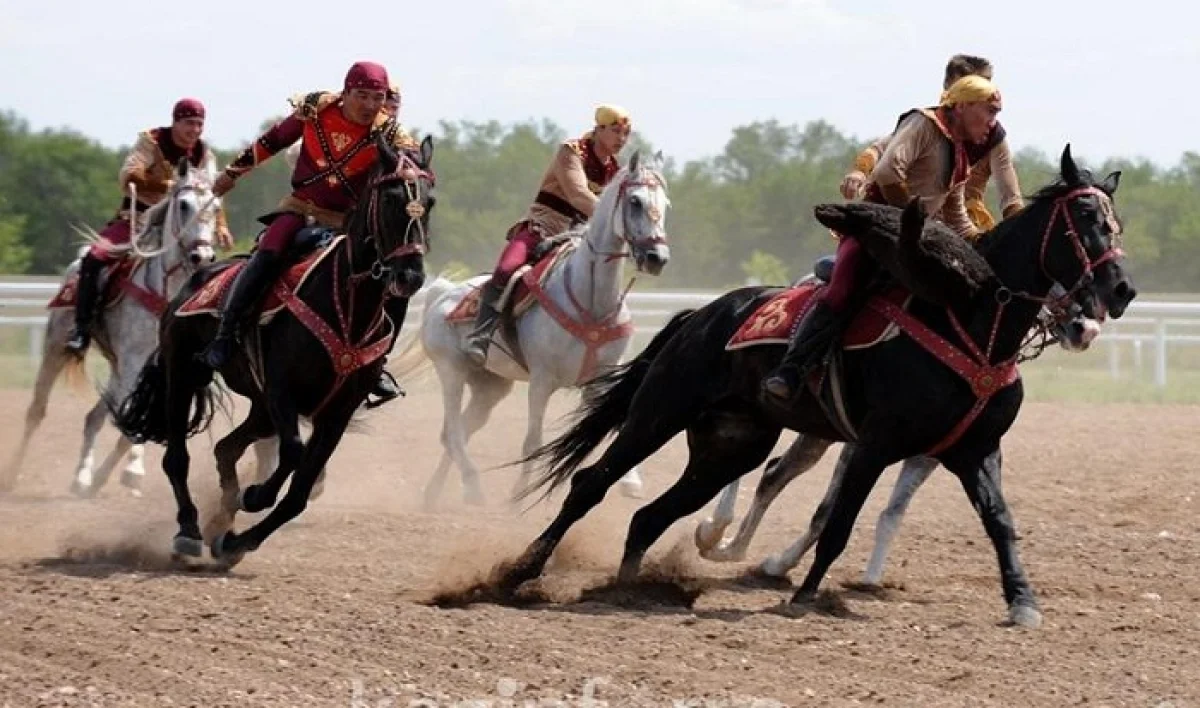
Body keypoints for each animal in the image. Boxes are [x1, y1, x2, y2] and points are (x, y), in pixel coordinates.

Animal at [0, 156, 260, 499]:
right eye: (184, 205)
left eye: (216, 207)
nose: (202, 255)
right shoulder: (135, 364)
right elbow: (130, 423)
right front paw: (119, 473)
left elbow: (137, 424)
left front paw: (121, 474)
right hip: (57, 346)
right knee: (37, 410)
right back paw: (15, 474)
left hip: (116, 369)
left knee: (94, 417)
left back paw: (84, 476)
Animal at [109, 134, 436, 566]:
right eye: (390, 198)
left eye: (429, 201)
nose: (410, 275)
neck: (345, 304)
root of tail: (196, 278)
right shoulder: (283, 390)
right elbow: (293, 453)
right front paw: (254, 496)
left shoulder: (335, 412)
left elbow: (298, 493)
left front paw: (236, 541)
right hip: (183, 375)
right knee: (177, 457)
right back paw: (189, 530)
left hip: (260, 408)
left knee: (225, 449)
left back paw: (221, 518)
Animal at [398, 150, 672, 508]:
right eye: (635, 201)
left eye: (666, 204)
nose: (657, 257)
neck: (590, 302)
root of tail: (440, 293)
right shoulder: (542, 381)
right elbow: (533, 442)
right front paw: (519, 495)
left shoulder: (601, 380)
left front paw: (631, 482)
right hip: (451, 371)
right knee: (454, 433)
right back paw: (473, 488)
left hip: (490, 387)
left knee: (456, 433)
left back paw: (433, 495)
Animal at [691, 282, 1099, 583]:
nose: (1086, 328)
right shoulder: (866, 445)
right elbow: (828, 511)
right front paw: (779, 563)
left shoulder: (931, 456)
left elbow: (892, 513)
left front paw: (869, 577)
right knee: (764, 471)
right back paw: (717, 533)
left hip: (817, 432)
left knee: (775, 472)